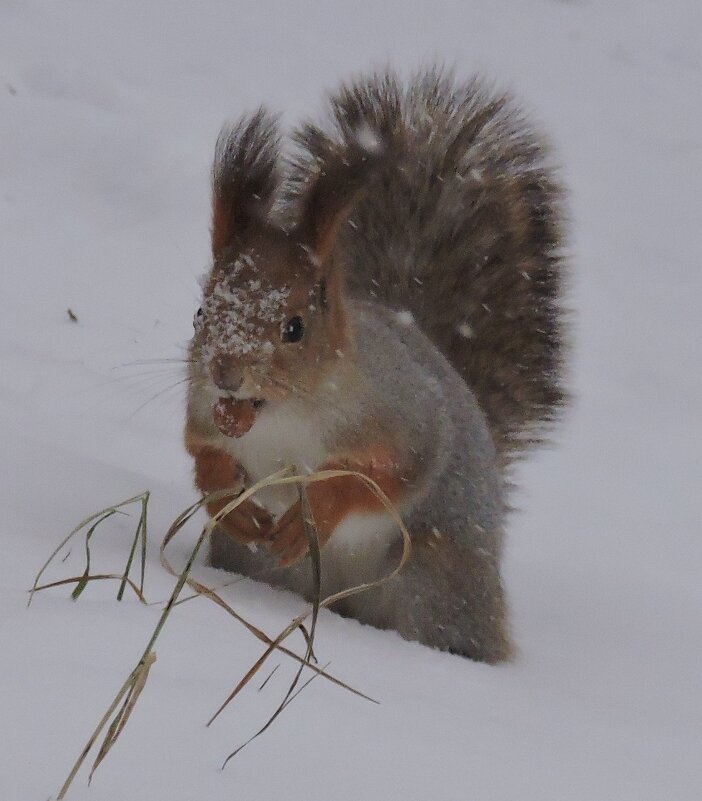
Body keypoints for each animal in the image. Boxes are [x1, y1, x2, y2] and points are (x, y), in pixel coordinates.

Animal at [186, 69, 568, 660]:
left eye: (294, 328)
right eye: (201, 310)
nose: (224, 373)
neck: (280, 414)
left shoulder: (404, 417)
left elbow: (384, 477)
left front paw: (315, 511)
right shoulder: (201, 409)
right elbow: (202, 450)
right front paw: (229, 494)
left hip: (433, 580)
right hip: (259, 564)